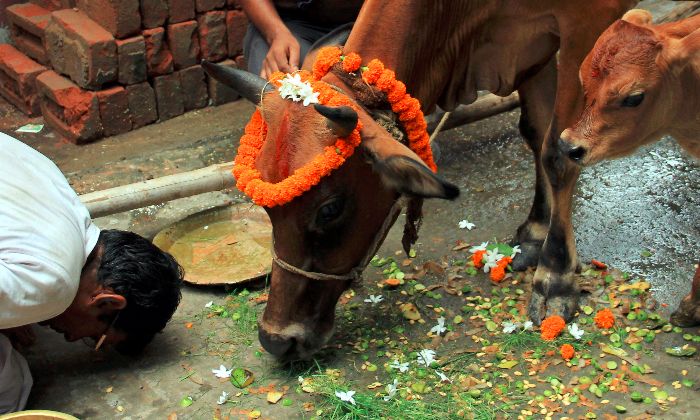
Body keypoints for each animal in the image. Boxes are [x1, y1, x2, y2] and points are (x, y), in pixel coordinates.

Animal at [204, 0, 637, 360]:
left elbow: (559, 152)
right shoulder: (528, 46)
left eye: (329, 209)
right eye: (266, 211)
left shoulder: (584, 25)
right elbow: (536, 130)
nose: (276, 340)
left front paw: (556, 279)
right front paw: (534, 233)